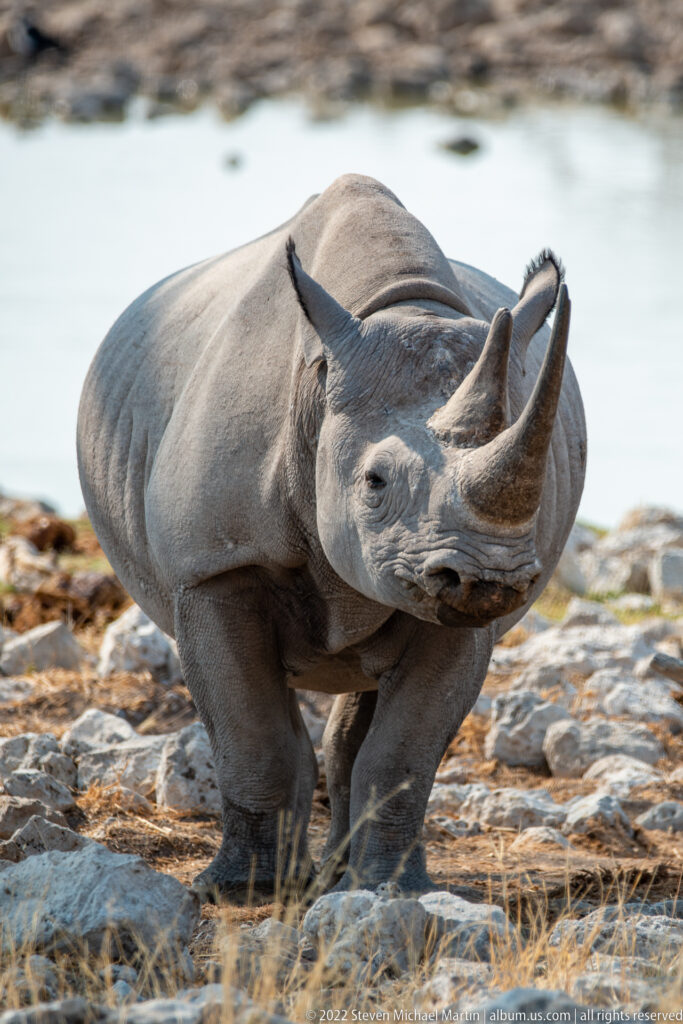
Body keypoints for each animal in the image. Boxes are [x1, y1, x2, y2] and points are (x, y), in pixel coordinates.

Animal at [78, 174, 586, 900]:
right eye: (374, 482)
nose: (486, 577)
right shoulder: (213, 567)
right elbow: (253, 735)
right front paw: (241, 889)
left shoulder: (453, 606)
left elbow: (401, 755)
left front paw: (393, 890)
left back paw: (340, 880)